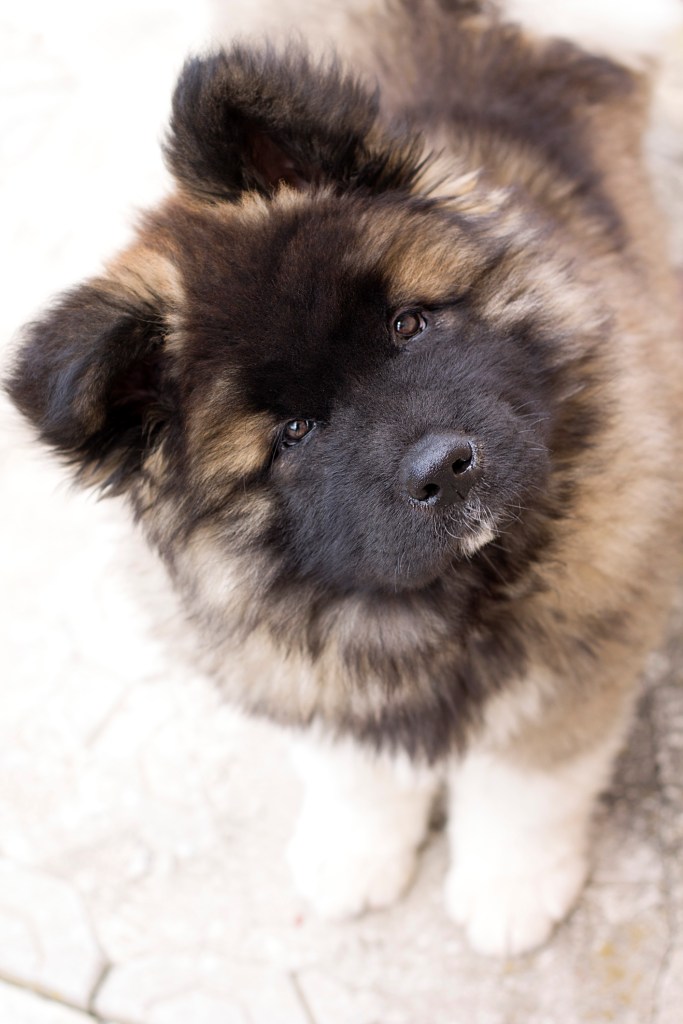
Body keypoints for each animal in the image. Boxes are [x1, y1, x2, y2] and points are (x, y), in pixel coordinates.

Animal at [6, 2, 683, 958]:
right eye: (294, 434)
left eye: (407, 325)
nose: (444, 466)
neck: (435, 602)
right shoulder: (305, 670)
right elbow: (356, 775)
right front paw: (354, 857)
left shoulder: (584, 642)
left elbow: (524, 785)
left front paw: (509, 886)